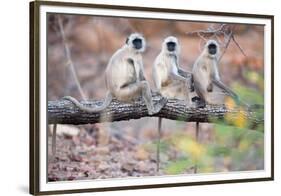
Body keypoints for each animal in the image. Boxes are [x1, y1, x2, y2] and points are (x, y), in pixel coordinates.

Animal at [152, 36, 194, 172]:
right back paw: (190, 103)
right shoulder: (169, 57)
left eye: (173, 44)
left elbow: (180, 70)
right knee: (180, 82)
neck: (169, 53)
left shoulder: (174, 56)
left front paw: (191, 77)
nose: (171, 47)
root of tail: (159, 91)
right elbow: (172, 73)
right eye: (169, 44)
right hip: (168, 89)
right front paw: (188, 81)